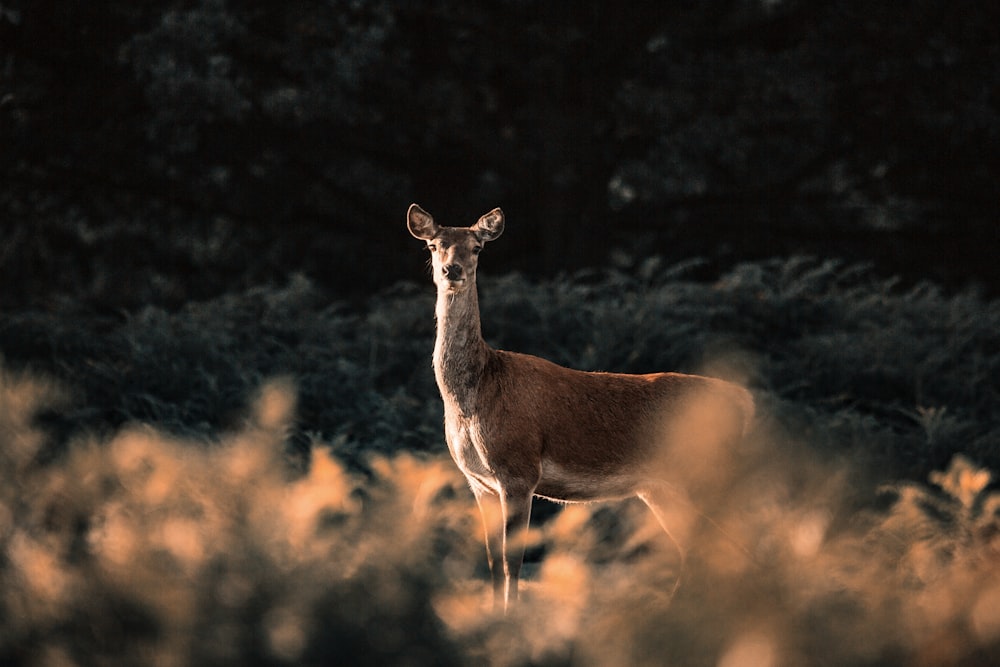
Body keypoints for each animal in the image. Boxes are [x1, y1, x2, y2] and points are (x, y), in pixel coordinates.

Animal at [406, 205, 752, 616]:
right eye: (434, 245)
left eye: (477, 247)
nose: (452, 270)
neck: (474, 396)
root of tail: (744, 401)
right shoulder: (479, 482)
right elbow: (491, 560)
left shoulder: (519, 469)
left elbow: (512, 559)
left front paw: (511, 618)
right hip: (662, 487)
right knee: (701, 548)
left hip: (701, 474)